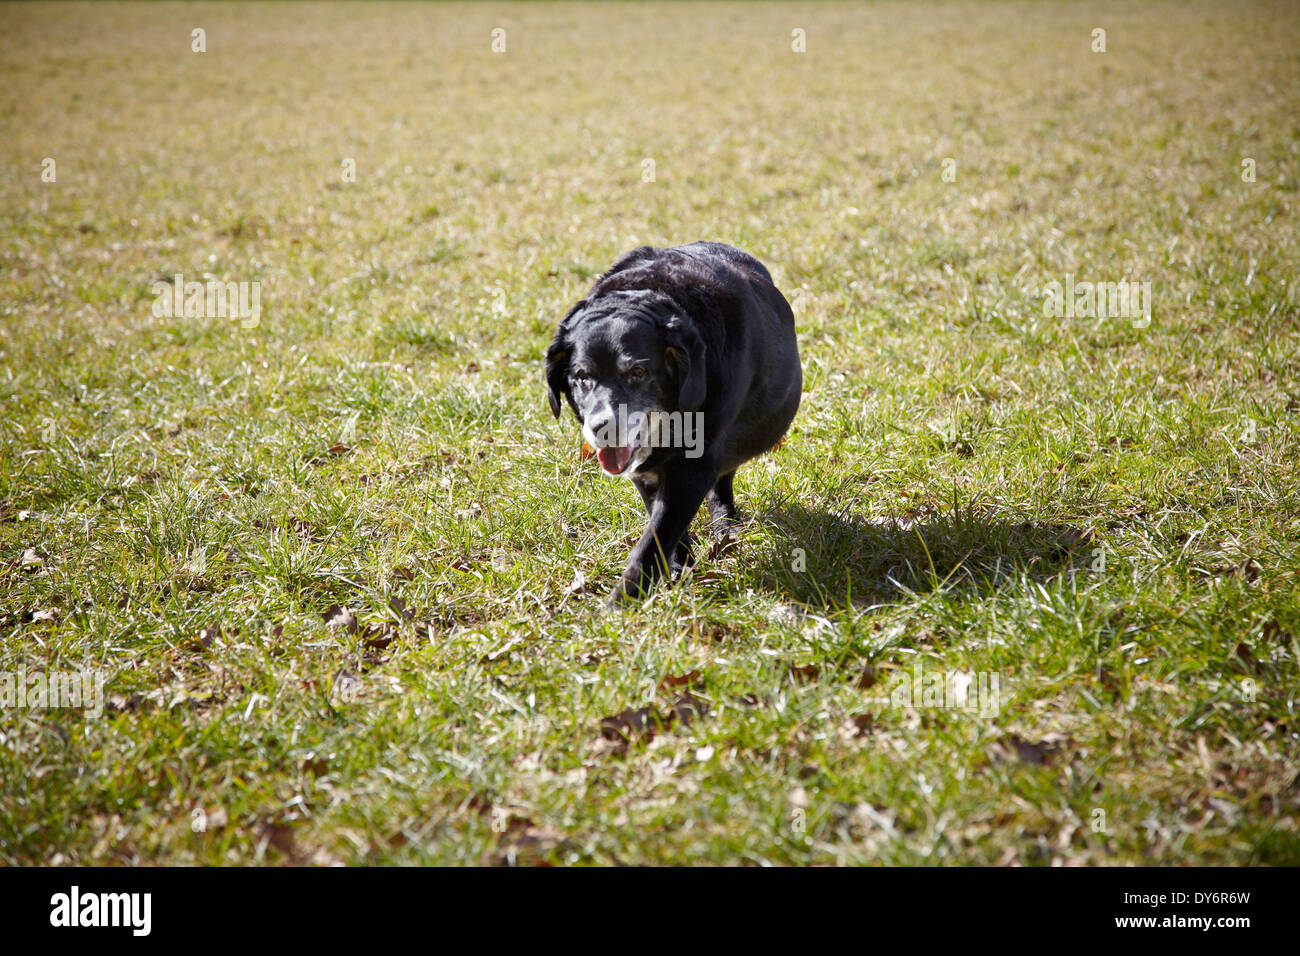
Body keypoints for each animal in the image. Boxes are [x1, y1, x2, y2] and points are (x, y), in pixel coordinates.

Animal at [540, 243, 800, 600]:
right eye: (582, 377)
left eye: (638, 372)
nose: (603, 428)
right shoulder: (647, 473)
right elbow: (661, 522)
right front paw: (679, 565)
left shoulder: (694, 466)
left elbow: (654, 540)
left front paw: (622, 602)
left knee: (722, 483)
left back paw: (725, 527)